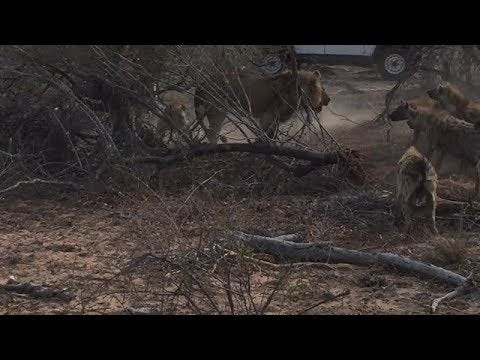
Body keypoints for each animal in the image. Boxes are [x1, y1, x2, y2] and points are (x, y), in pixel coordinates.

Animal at [191, 69, 330, 144]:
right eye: (323, 89)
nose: (329, 99)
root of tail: (201, 83)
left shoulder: (275, 119)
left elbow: (271, 135)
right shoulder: (268, 116)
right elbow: (266, 135)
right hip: (217, 112)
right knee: (212, 134)